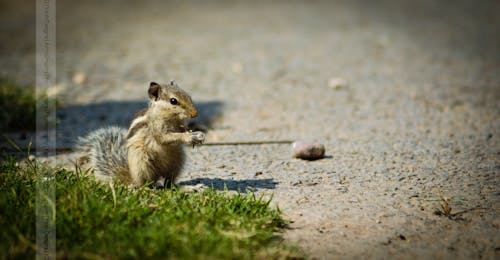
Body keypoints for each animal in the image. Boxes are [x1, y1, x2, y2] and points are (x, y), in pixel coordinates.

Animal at [76, 80, 205, 187]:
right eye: (173, 101)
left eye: (188, 96)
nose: (195, 114)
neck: (171, 119)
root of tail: (132, 178)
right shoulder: (156, 130)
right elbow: (165, 138)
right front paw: (188, 136)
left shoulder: (180, 125)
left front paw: (198, 135)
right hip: (141, 163)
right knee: (144, 184)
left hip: (177, 162)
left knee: (168, 184)